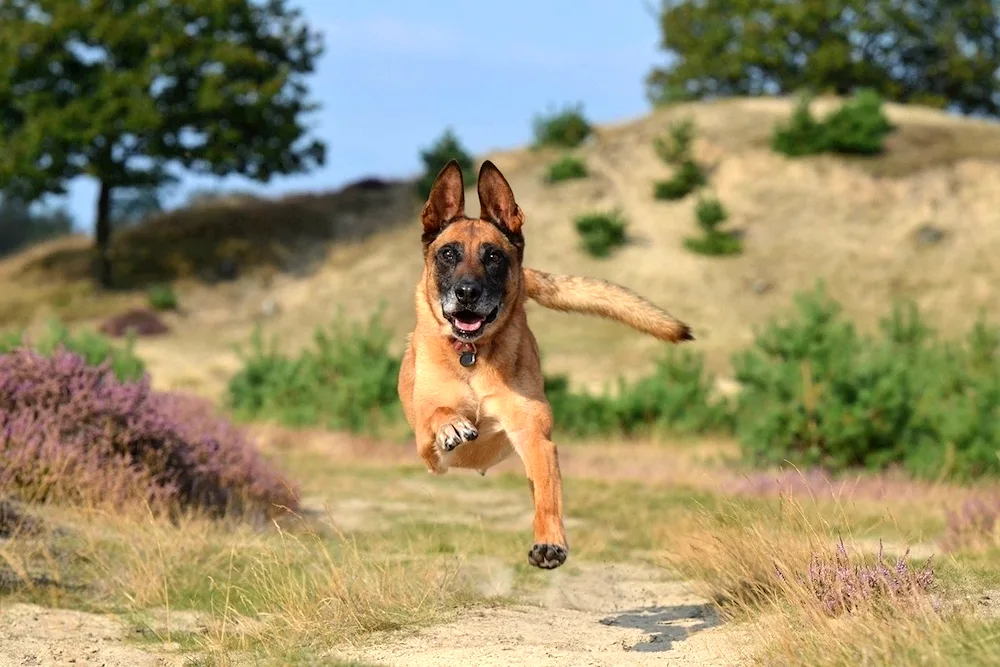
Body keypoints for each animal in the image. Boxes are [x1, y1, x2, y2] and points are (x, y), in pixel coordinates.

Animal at [394, 158, 692, 568]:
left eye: (493, 256)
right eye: (448, 254)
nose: (467, 293)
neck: (473, 355)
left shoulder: (534, 437)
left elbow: (547, 496)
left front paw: (550, 542)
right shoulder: (428, 448)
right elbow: (439, 414)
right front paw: (452, 424)